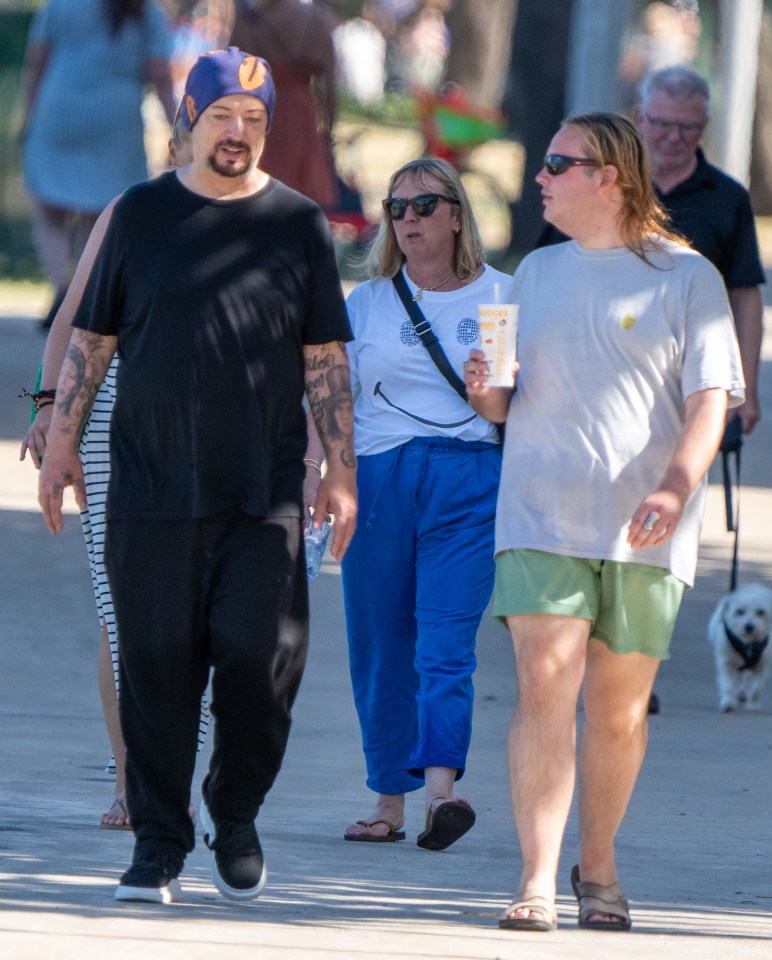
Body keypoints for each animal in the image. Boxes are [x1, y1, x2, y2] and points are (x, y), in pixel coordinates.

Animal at [708, 576, 772, 712]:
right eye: (740, 611)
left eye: (760, 612)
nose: (749, 627)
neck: (748, 644)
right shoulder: (727, 664)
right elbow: (728, 685)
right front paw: (727, 703)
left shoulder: (762, 665)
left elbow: (756, 687)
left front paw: (753, 705)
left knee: (747, 679)